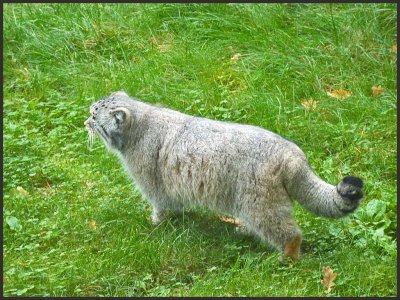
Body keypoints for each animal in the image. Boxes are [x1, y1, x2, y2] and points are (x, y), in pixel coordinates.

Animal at [84, 91, 362, 260]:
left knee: (289, 233)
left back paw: (288, 257)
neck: (141, 124)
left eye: (94, 116)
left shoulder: (154, 184)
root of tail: (291, 153)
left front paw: (156, 224)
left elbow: (161, 206)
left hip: (260, 204)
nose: (85, 122)